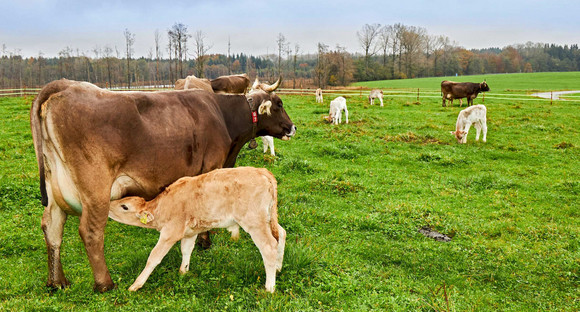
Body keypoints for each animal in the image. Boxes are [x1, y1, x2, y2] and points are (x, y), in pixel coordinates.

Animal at [108, 168, 286, 292]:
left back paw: (269, 287)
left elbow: (154, 257)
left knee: (269, 246)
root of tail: (263, 171)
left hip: (254, 222)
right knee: (282, 234)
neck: (163, 206)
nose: (108, 206)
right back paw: (278, 267)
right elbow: (186, 250)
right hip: (268, 217)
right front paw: (183, 272)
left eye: (124, 206)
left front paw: (136, 285)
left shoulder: (170, 232)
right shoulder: (190, 232)